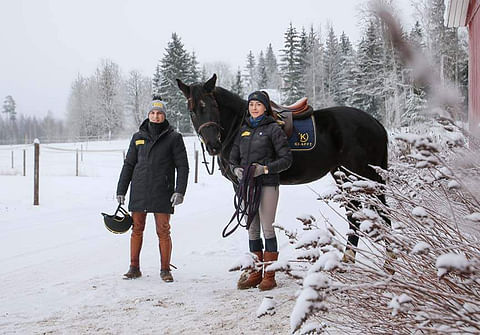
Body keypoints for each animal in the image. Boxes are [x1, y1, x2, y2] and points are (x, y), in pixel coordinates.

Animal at [176, 73, 390, 252]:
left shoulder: (243, 183)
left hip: (364, 178)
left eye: (213, 106)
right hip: (344, 177)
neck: (241, 125)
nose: (213, 145)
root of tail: (377, 124)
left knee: (383, 216)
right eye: (192, 111)